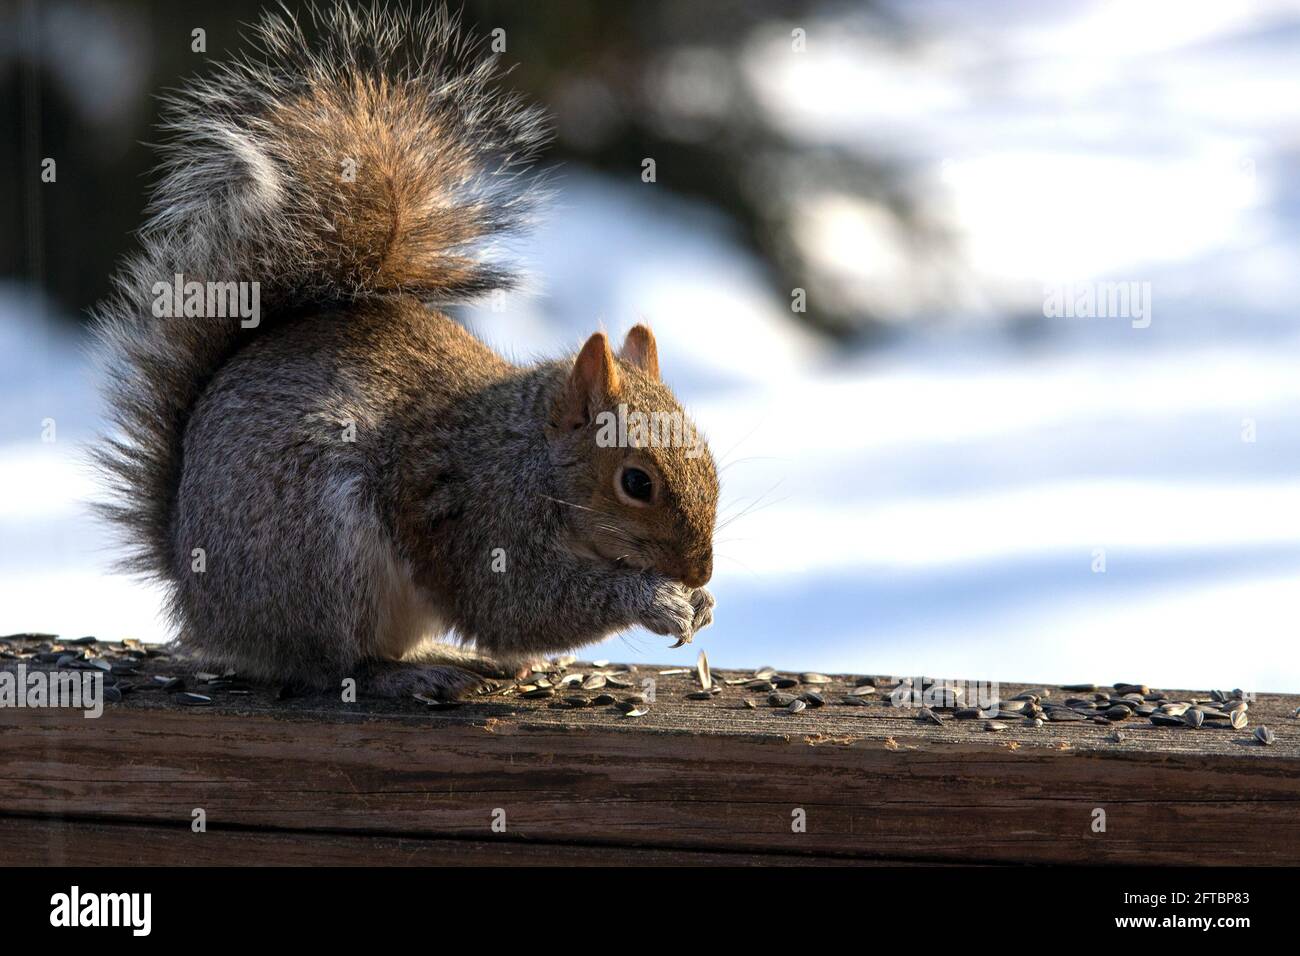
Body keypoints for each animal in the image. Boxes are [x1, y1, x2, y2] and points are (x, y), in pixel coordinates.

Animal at [90, 3, 718, 698]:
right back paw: (402, 674)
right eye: (636, 482)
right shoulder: (484, 515)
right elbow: (517, 605)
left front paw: (698, 604)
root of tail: (197, 590)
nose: (700, 571)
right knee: (331, 662)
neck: (531, 456)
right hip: (319, 555)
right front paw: (657, 599)